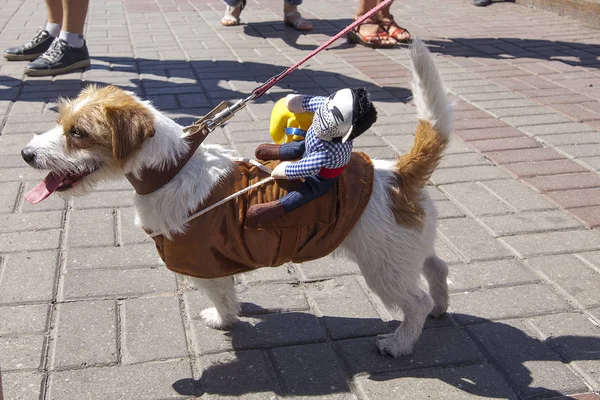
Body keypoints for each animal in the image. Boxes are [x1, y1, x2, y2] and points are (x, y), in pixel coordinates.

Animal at [22, 39, 454, 358]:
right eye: (62, 121)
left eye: (78, 133)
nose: (26, 154)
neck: (172, 168)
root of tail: (399, 173)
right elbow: (228, 289)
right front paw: (230, 315)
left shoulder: (202, 261)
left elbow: (220, 293)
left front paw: (223, 318)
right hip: (405, 252)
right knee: (437, 268)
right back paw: (441, 306)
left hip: (384, 267)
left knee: (415, 301)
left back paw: (400, 342)